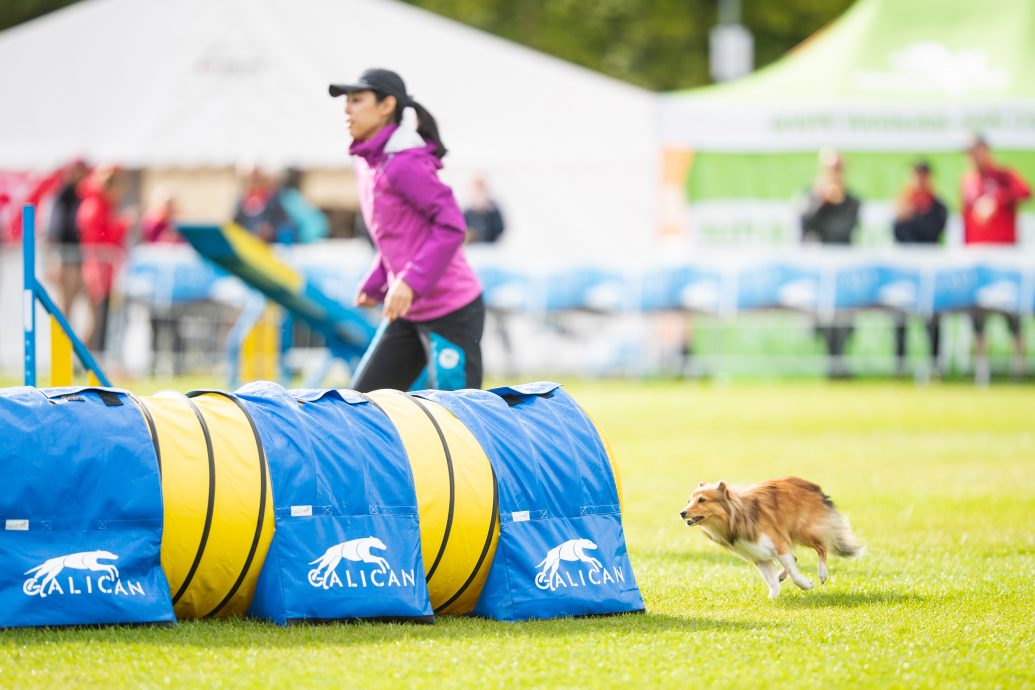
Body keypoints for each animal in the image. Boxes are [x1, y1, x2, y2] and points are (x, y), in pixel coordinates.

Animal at [678, 477, 865, 595]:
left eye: (702, 500)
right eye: (688, 500)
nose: (682, 513)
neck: (736, 517)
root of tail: (814, 487)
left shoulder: (777, 544)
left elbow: (794, 572)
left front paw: (806, 585)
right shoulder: (758, 555)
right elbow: (771, 580)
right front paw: (773, 598)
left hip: (803, 529)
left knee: (822, 548)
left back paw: (822, 574)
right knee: (796, 557)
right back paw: (782, 575)